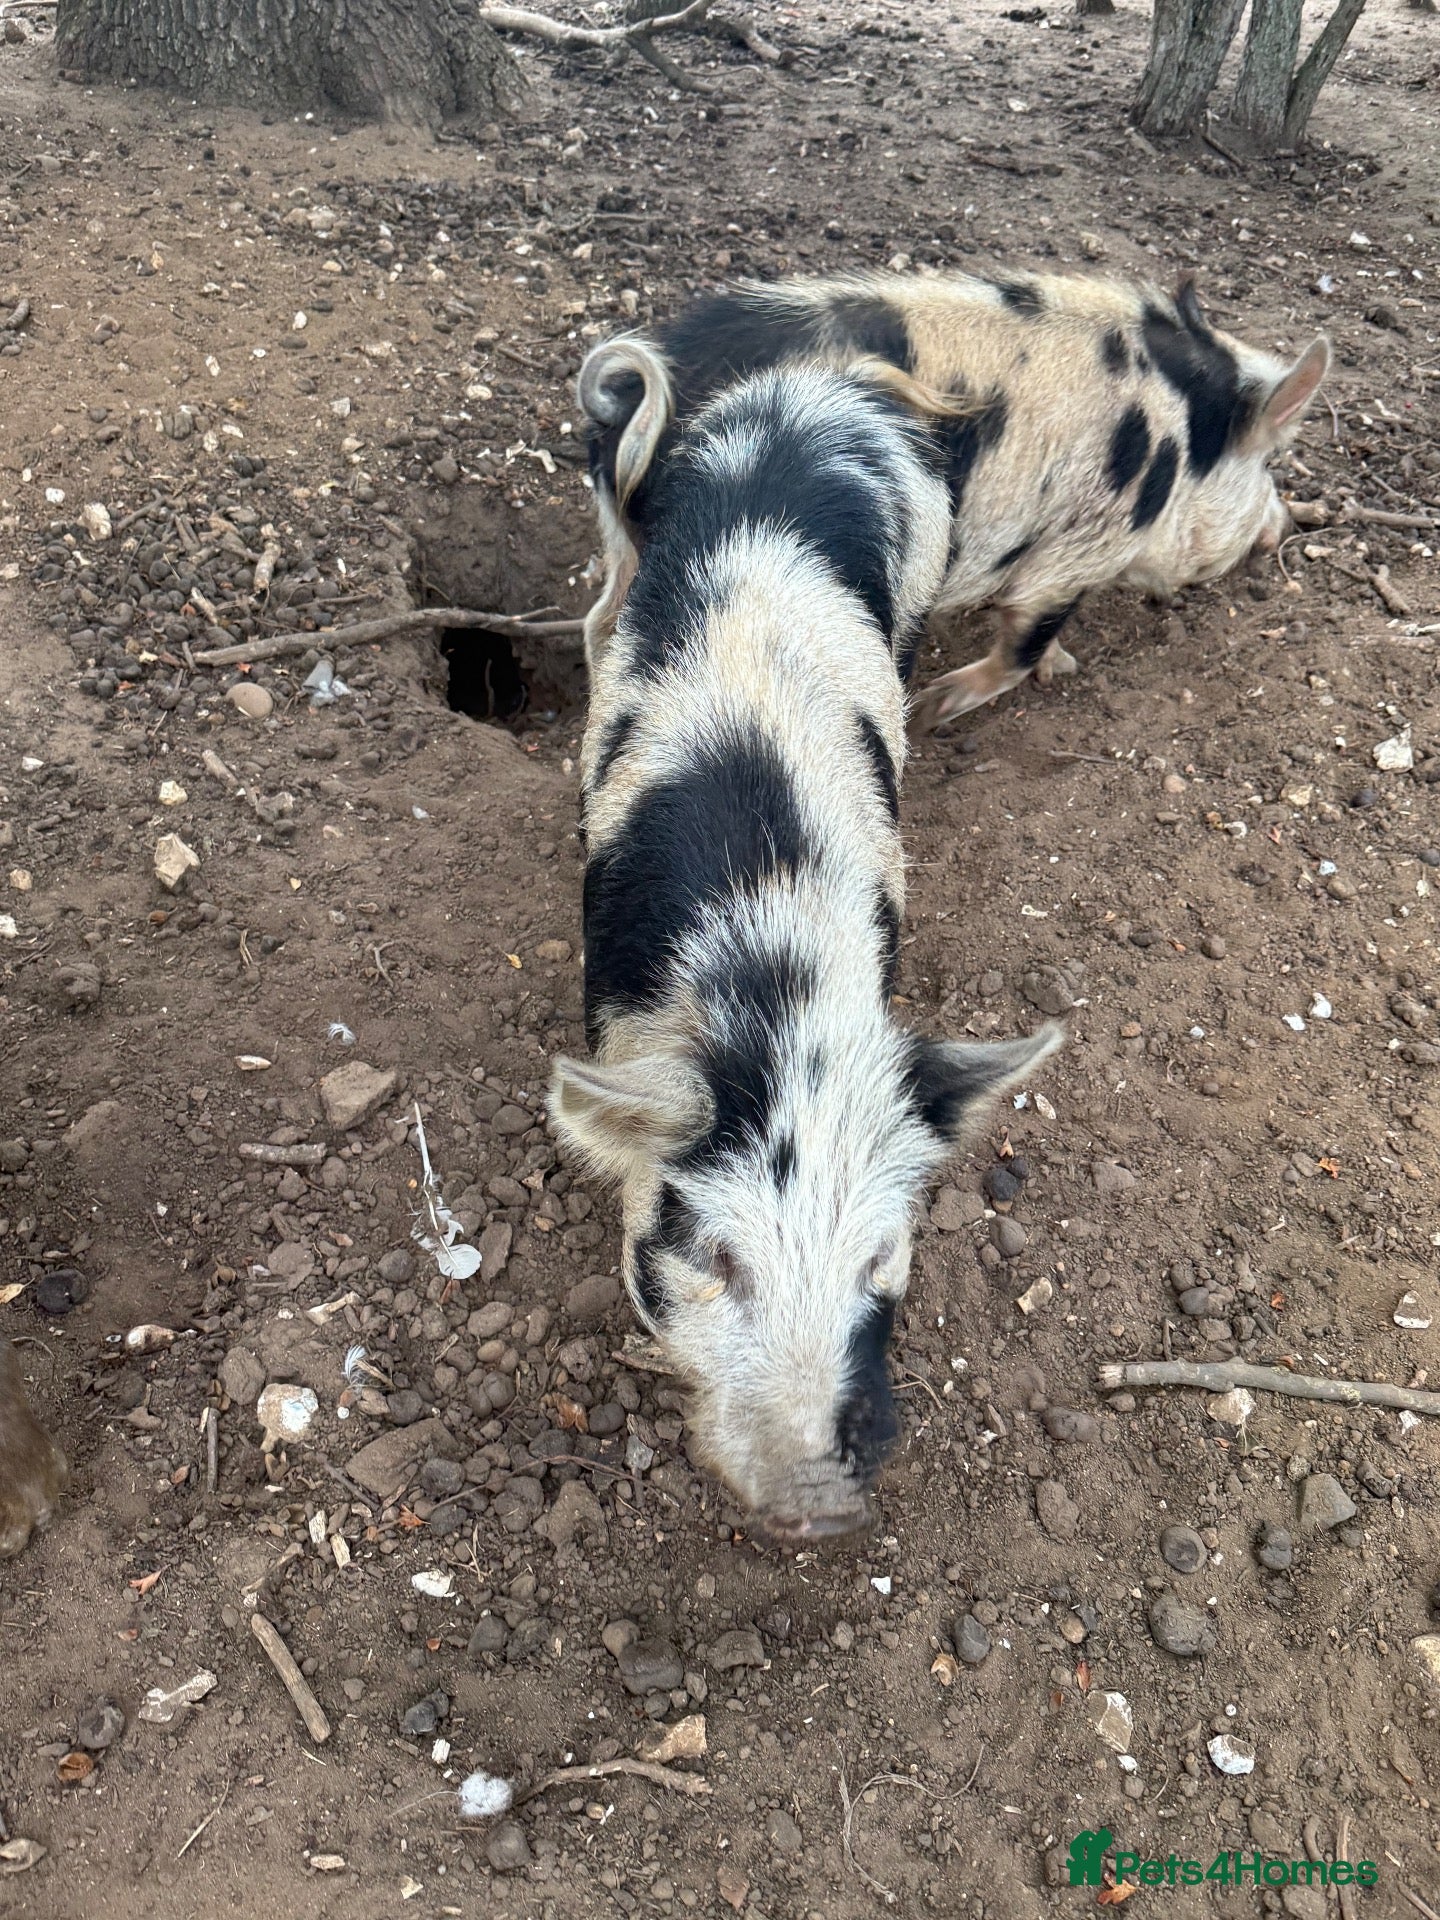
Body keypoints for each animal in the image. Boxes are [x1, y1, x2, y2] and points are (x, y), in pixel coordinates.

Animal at [578, 269, 1330, 724]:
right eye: (1269, 465)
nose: (1286, 522)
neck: (1187, 443)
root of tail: (636, 400)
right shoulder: (1082, 545)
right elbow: (1025, 634)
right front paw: (942, 706)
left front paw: (1059, 667)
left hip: (626, 551)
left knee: (598, 623)